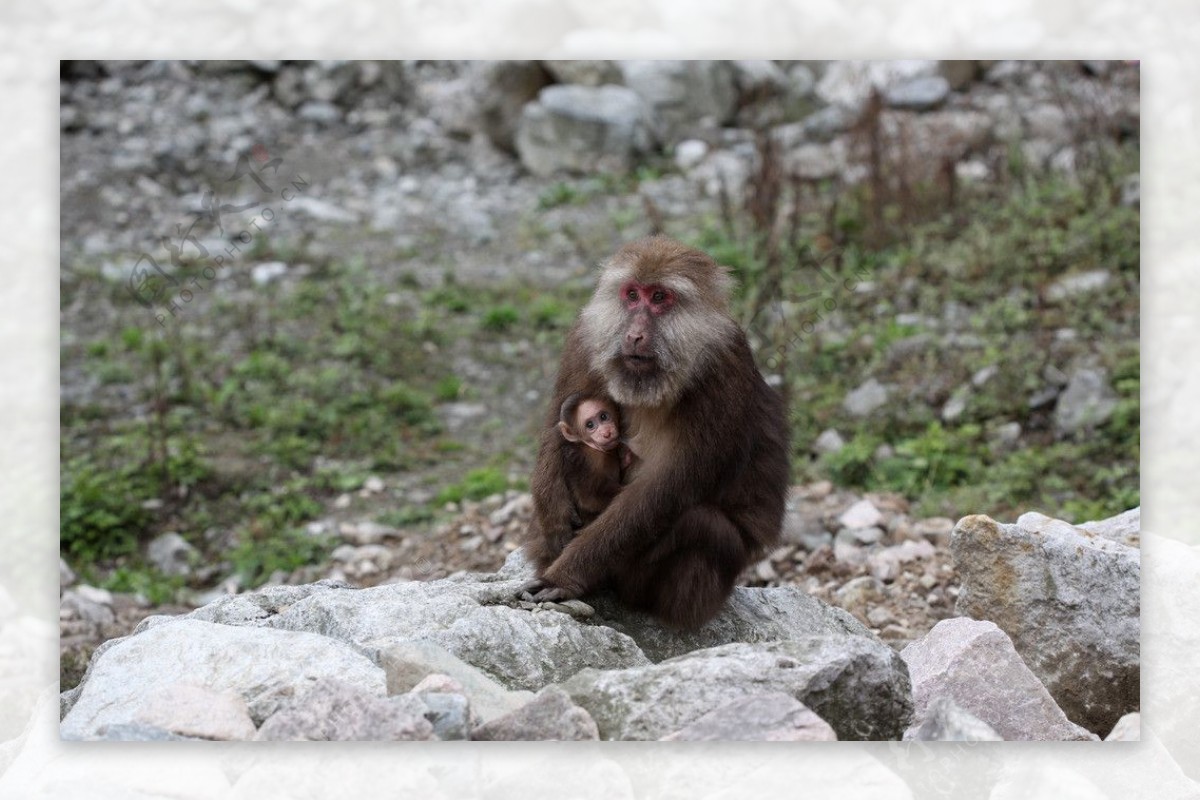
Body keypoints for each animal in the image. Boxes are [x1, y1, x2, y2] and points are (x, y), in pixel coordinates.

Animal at [556, 390, 638, 527]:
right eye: (590, 425)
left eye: (603, 417)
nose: (606, 432)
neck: (592, 448)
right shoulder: (585, 462)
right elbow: (588, 499)